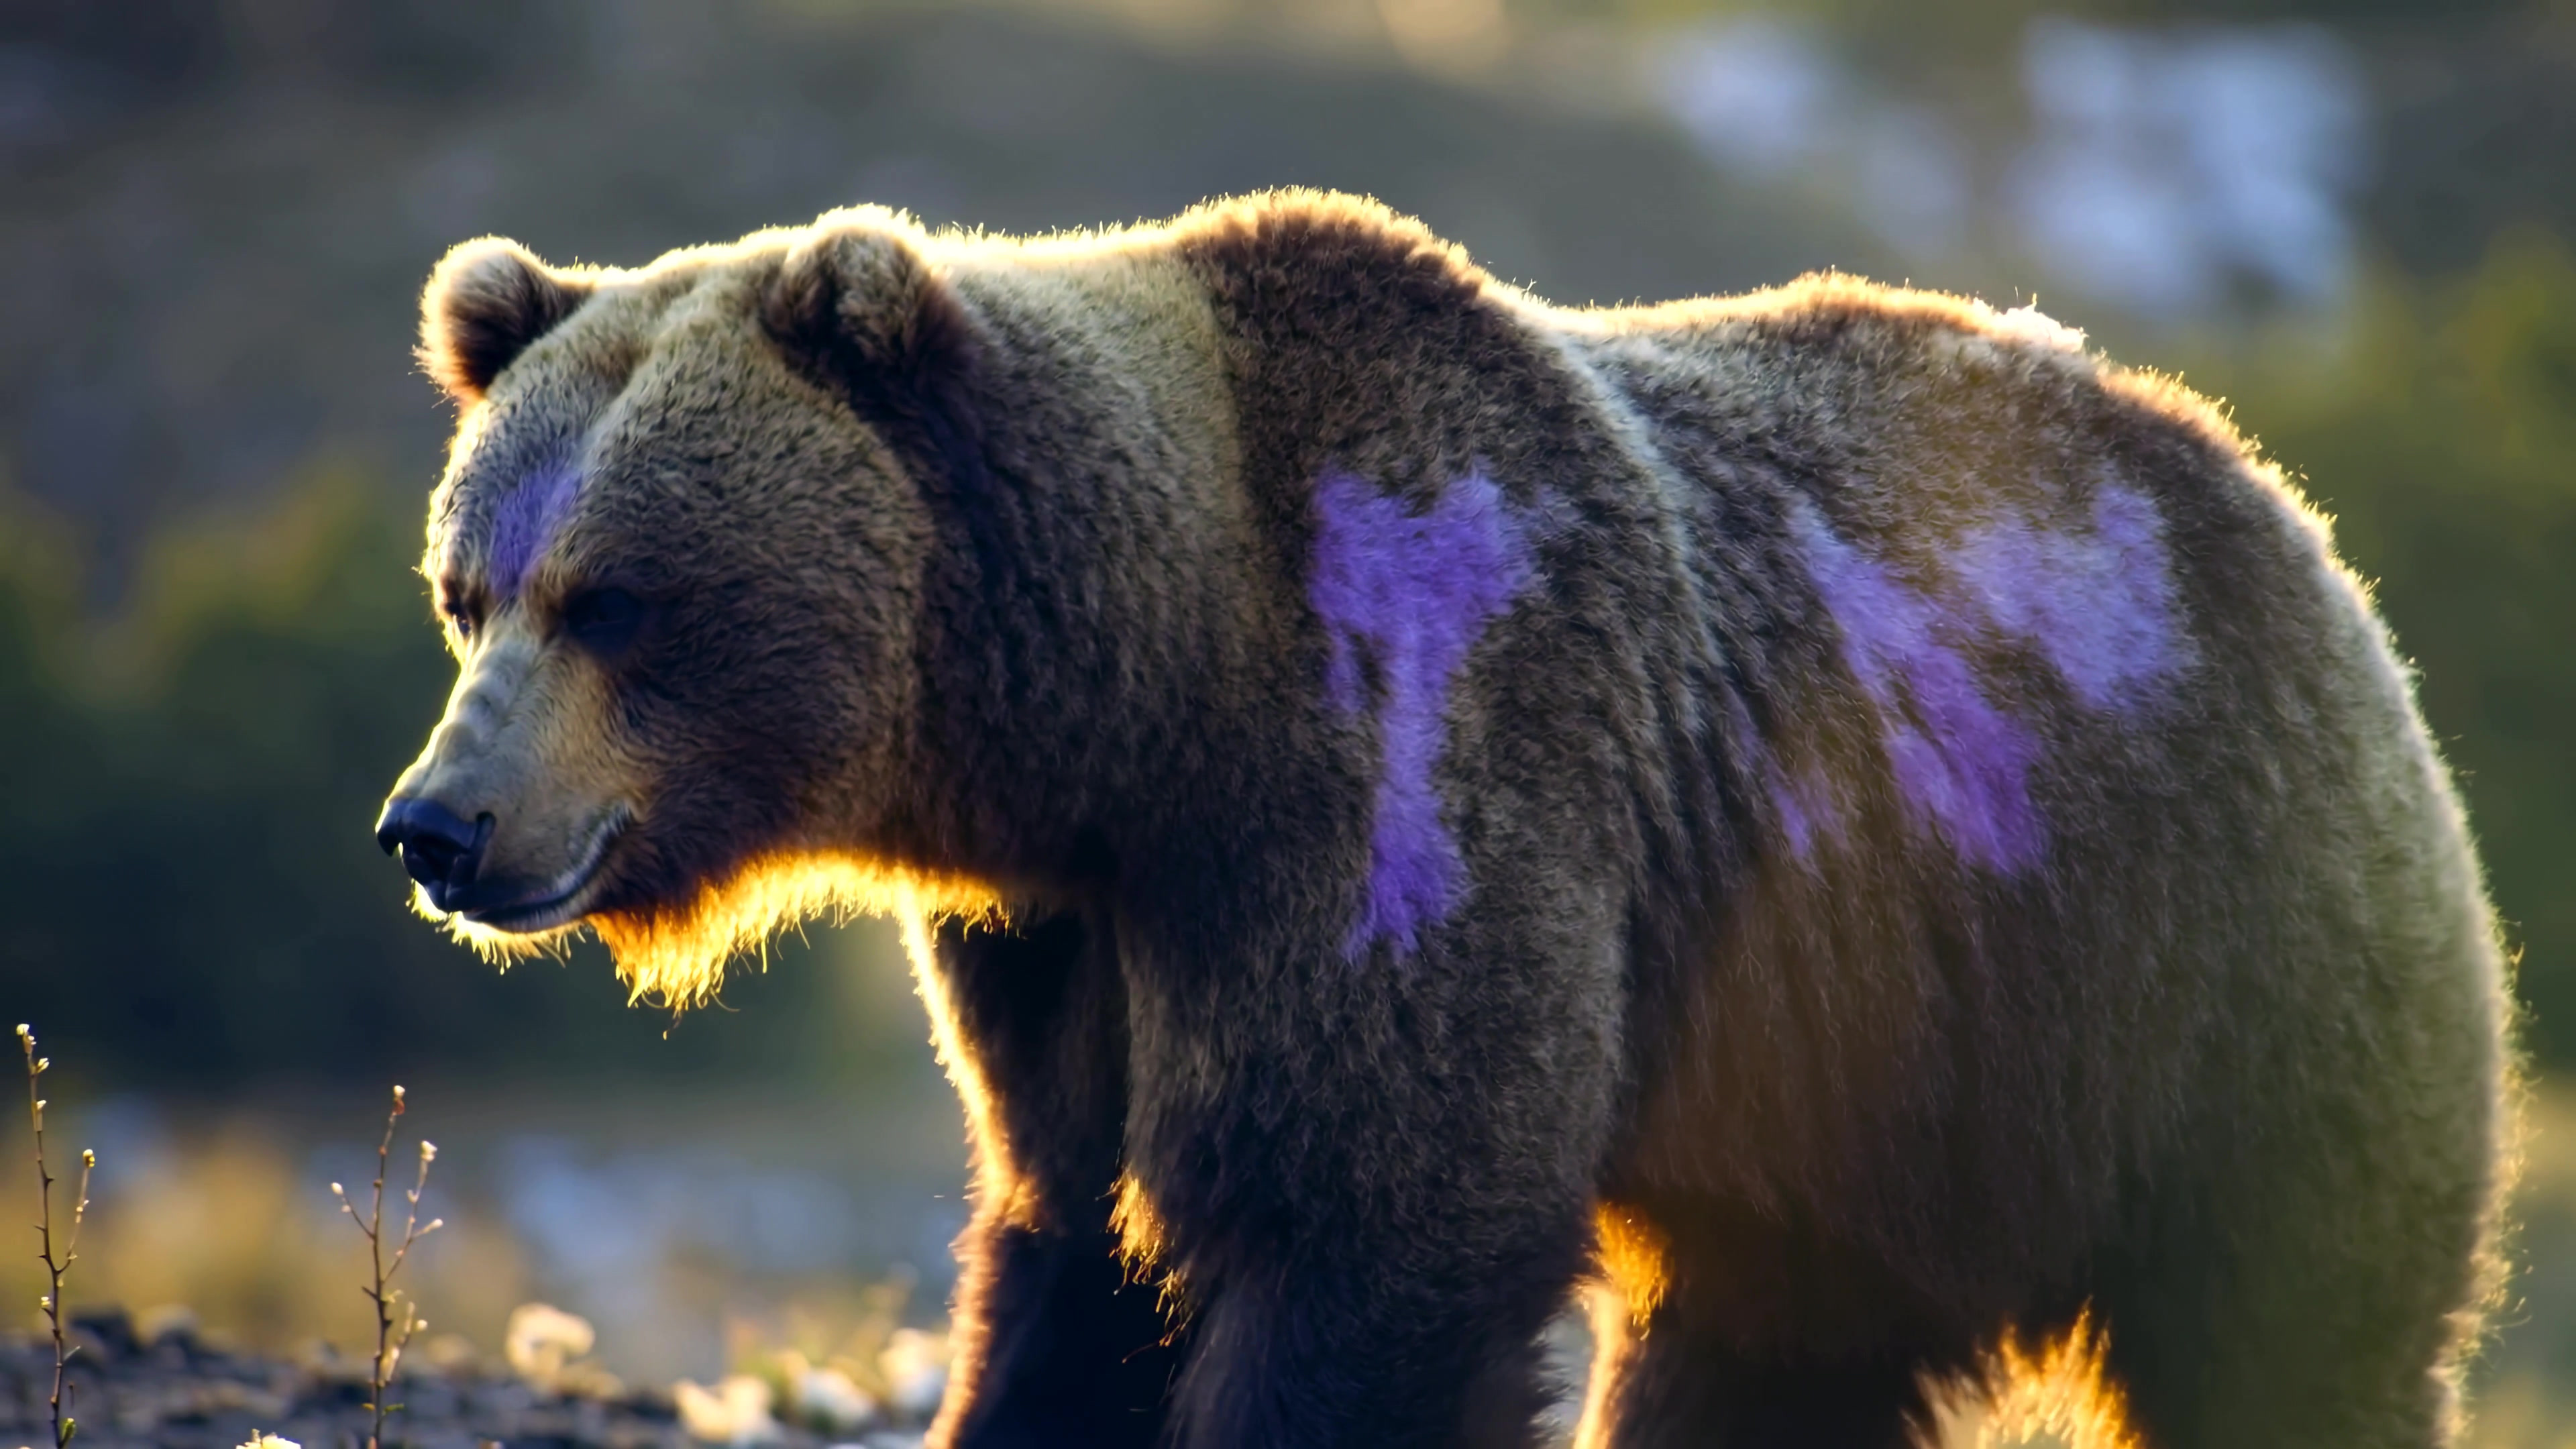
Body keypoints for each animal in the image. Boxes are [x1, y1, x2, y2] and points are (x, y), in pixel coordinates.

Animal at [374, 190, 2512, 1449]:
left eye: (618, 598)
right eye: (471, 589)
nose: (436, 824)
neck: (1140, 705)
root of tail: (2274, 499)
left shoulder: (1409, 765)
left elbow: (1376, 1217)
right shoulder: (1069, 937)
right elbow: (1076, 1239)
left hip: (2204, 946)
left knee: (2297, 1316)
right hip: (1873, 1078)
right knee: (1771, 1341)